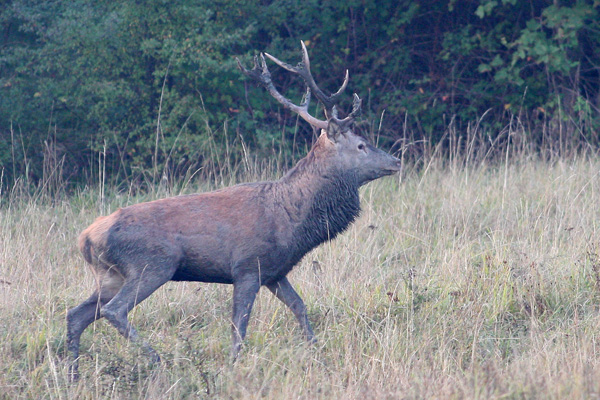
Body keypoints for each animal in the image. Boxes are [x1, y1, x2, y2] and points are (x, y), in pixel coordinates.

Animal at [65, 41, 400, 382]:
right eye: (361, 145)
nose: (396, 160)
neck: (291, 222)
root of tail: (86, 238)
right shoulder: (248, 267)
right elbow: (239, 327)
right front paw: (233, 367)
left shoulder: (275, 272)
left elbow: (300, 306)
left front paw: (316, 353)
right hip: (153, 264)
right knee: (113, 310)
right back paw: (157, 359)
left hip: (109, 274)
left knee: (77, 314)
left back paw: (73, 374)